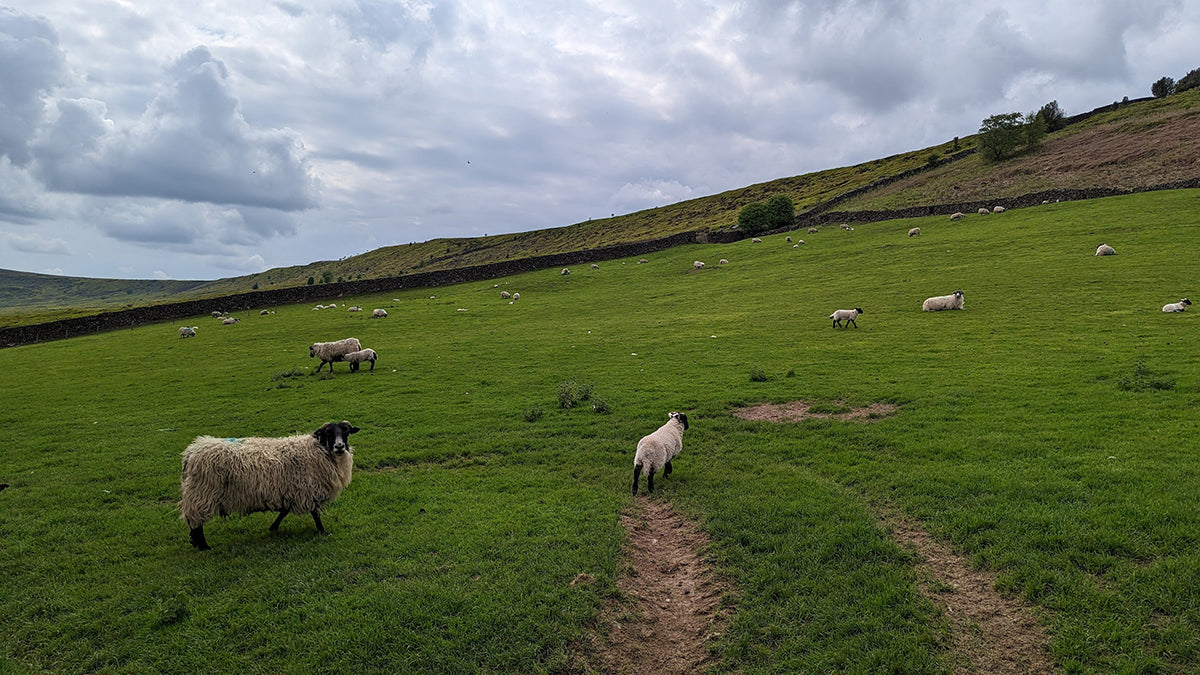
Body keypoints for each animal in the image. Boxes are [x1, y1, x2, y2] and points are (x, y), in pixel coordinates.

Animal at [175, 417, 357, 550]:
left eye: (346, 431)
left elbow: (284, 511)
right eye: (328, 432)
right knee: (196, 522)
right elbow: (315, 513)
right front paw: (322, 531)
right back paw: (203, 546)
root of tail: (191, 452)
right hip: (202, 493)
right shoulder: (308, 489)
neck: (318, 450)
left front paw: (273, 528)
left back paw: (197, 543)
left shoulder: (290, 490)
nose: (339, 446)